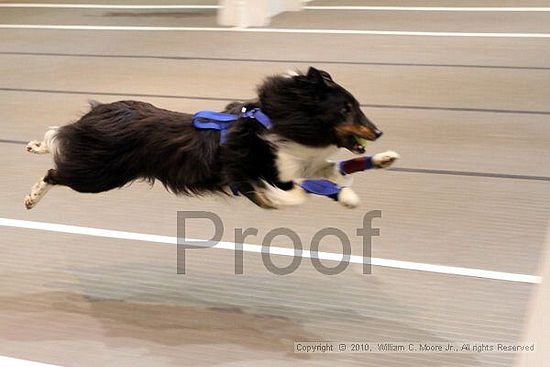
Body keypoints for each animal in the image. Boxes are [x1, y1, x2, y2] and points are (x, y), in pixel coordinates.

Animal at [24, 66, 402, 210]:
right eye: (346, 109)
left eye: (357, 107)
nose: (379, 132)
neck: (277, 121)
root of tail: (103, 112)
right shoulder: (257, 173)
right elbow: (299, 193)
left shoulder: (305, 163)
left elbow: (338, 166)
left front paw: (383, 159)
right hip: (99, 176)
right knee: (56, 169)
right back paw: (30, 198)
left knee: (59, 137)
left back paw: (35, 145)